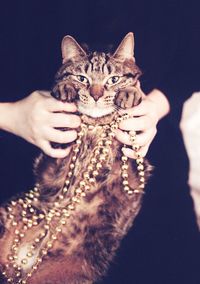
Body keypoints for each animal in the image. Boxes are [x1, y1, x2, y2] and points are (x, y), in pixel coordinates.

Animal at [0, 33, 150, 284]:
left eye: (113, 79)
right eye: (82, 78)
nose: (97, 95)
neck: (95, 127)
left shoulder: (132, 177)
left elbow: (130, 151)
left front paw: (132, 92)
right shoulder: (51, 167)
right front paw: (65, 87)